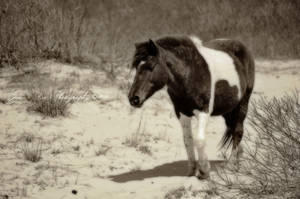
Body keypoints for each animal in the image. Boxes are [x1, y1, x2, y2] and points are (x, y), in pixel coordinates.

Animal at [127, 35, 254, 179]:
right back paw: (238, 157)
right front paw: (192, 169)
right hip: (228, 110)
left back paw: (231, 164)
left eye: (151, 66)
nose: (133, 98)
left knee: (238, 131)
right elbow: (187, 140)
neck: (190, 74)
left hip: (243, 103)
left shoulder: (203, 111)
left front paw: (204, 170)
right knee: (233, 130)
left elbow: (199, 140)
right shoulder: (182, 113)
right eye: (136, 67)